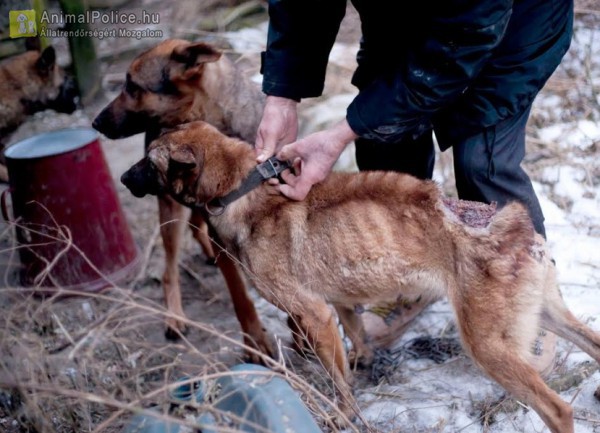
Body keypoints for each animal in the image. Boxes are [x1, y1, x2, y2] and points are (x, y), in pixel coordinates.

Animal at [122, 120, 600, 432]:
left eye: (148, 161)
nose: (124, 176)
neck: (243, 184)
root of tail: (518, 227)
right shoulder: (338, 303)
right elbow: (354, 338)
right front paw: (364, 361)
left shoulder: (313, 313)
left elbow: (338, 380)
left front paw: (344, 413)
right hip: (544, 314)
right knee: (592, 343)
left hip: (489, 345)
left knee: (557, 410)